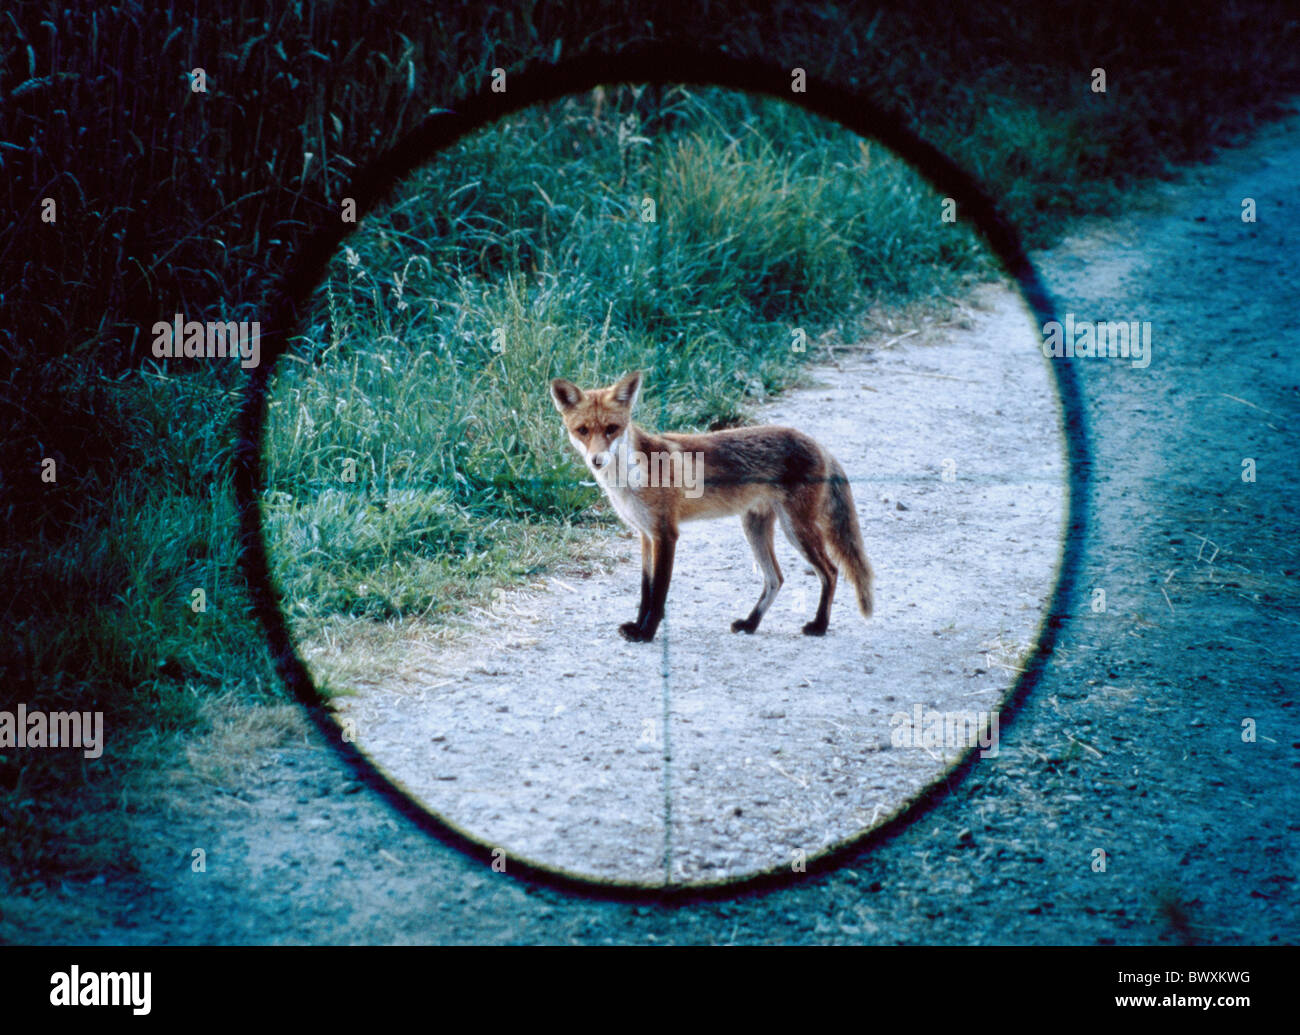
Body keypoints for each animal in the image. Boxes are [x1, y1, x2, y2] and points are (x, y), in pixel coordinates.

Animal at [548, 371, 873, 642]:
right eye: (582, 430)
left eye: (612, 429)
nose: (597, 460)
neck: (629, 478)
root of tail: (817, 443)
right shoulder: (645, 535)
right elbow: (645, 590)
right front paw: (639, 626)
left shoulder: (666, 534)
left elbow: (658, 594)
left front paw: (647, 633)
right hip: (754, 527)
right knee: (776, 579)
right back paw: (750, 624)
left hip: (796, 529)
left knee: (830, 571)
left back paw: (819, 626)